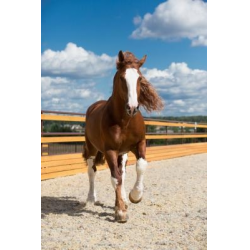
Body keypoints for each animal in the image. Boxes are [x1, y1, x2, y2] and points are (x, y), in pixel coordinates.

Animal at [83, 50, 163, 223]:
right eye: (122, 78)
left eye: (140, 78)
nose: (132, 108)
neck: (124, 121)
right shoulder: (110, 151)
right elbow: (115, 178)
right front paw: (120, 211)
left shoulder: (139, 144)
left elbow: (140, 166)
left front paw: (134, 196)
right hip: (92, 149)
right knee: (92, 171)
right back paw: (91, 198)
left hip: (123, 154)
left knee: (122, 173)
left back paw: (123, 199)